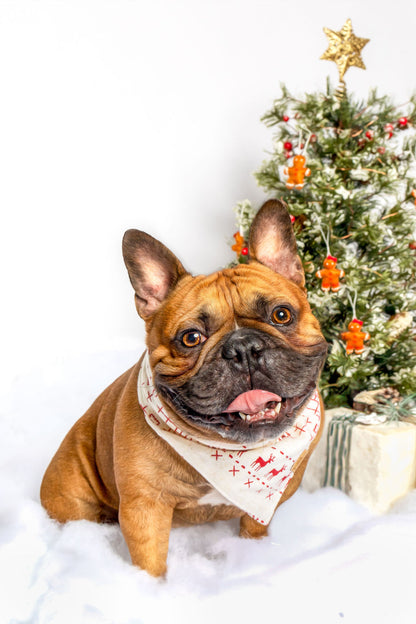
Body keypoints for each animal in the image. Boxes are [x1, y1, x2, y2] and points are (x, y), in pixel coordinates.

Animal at [41, 199, 328, 576]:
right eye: (191, 338)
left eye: (281, 315)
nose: (243, 349)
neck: (227, 449)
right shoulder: (144, 510)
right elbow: (150, 565)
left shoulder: (265, 507)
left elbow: (253, 531)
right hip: (73, 493)